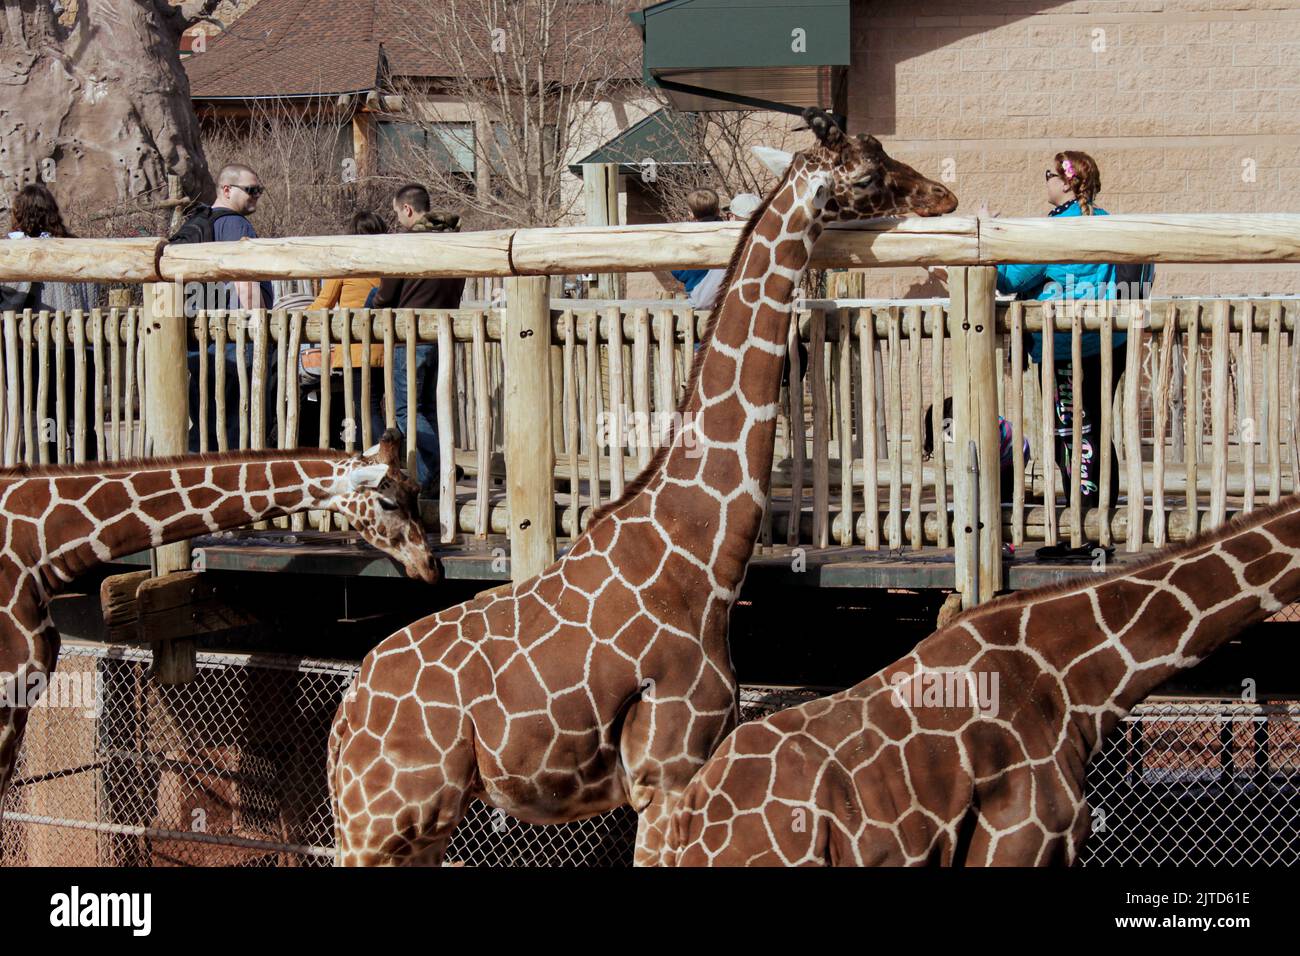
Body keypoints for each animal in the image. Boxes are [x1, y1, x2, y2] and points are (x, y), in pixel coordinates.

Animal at [329, 108, 959, 866]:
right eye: (865, 176)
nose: (942, 197)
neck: (703, 558)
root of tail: (343, 719)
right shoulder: (666, 773)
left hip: (414, 826)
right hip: (379, 821)